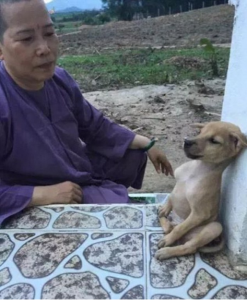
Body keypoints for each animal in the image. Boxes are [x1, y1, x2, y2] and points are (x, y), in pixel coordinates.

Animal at [156, 122, 247, 260]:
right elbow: (171, 196)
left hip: (214, 227)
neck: (197, 169)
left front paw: (168, 240)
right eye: (200, 132)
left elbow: (181, 228)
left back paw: (167, 251)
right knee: (170, 227)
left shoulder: (199, 214)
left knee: (188, 244)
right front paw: (165, 209)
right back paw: (163, 219)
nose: (186, 141)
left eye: (214, 141)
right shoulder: (177, 185)